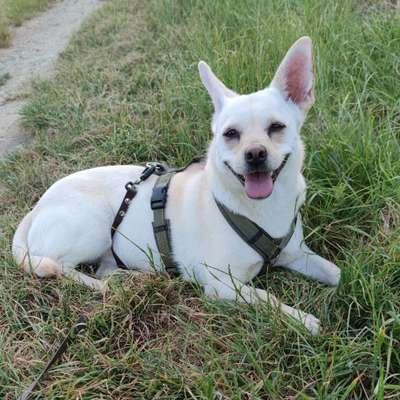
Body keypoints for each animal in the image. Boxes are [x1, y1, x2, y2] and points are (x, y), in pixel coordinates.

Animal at [12, 37, 340, 334]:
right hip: (92, 229)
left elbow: (337, 272)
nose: (255, 154)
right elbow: (268, 298)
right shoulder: (222, 285)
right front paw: (302, 319)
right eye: (230, 134)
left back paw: (123, 278)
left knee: (102, 267)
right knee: (58, 267)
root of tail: (36, 207)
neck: (262, 209)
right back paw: (99, 284)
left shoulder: (296, 254)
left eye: (276, 127)